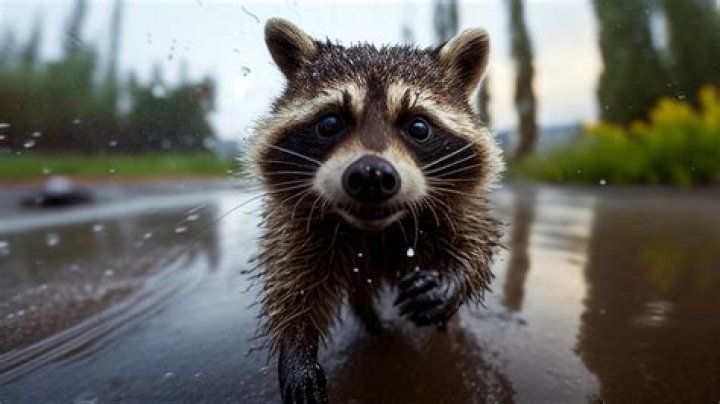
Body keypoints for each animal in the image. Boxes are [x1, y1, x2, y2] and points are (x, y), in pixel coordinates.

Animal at [250, 18, 504, 403]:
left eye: (418, 127)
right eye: (330, 123)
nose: (371, 175)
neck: (377, 228)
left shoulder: (460, 206)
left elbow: (476, 244)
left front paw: (451, 279)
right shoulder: (299, 223)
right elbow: (293, 279)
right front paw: (295, 347)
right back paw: (372, 321)